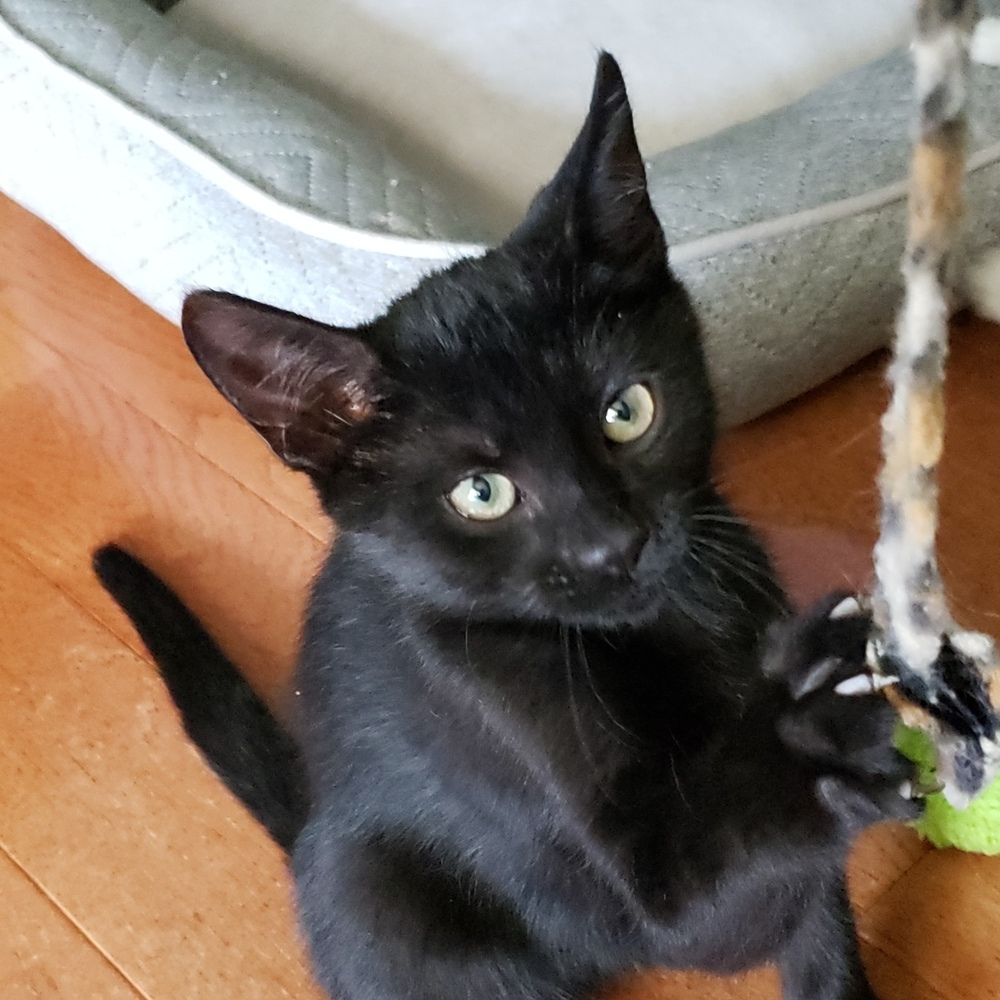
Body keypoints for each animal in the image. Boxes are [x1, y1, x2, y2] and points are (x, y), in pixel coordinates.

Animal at [94, 54, 916, 1000]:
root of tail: (311, 826)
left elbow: (821, 922)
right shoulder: (637, 885)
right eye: (480, 493)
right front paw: (808, 736)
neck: (673, 623)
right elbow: (712, 890)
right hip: (388, 898)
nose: (613, 547)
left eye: (627, 411)